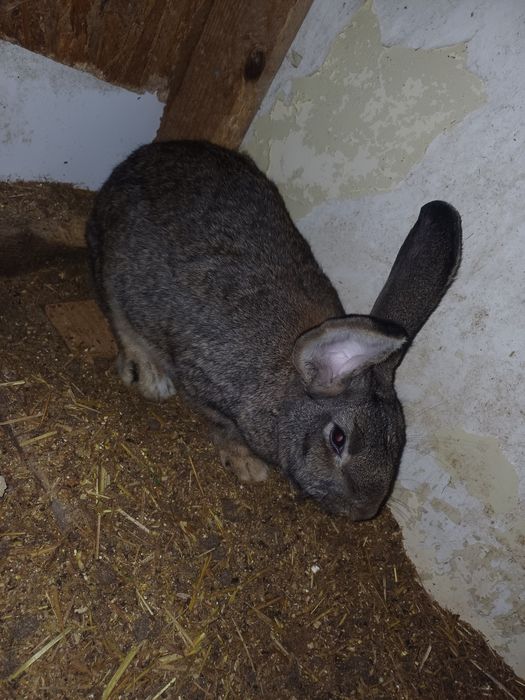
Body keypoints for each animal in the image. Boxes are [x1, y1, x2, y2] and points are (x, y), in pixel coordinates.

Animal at [86, 140, 462, 521]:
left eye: (398, 442)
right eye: (338, 438)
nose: (363, 512)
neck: (286, 385)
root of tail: (133, 162)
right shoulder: (205, 385)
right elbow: (226, 429)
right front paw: (249, 466)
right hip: (116, 270)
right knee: (118, 315)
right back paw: (149, 377)